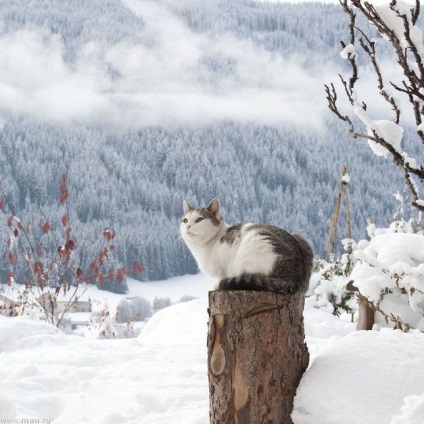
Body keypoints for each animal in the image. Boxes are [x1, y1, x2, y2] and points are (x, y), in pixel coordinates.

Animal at [181, 199, 314, 294]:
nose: (188, 227)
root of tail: (295, 278)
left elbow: (223, 276)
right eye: (185, 220)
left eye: (199, 219)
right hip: (301, 237)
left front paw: (218, 284)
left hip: (255, 241)